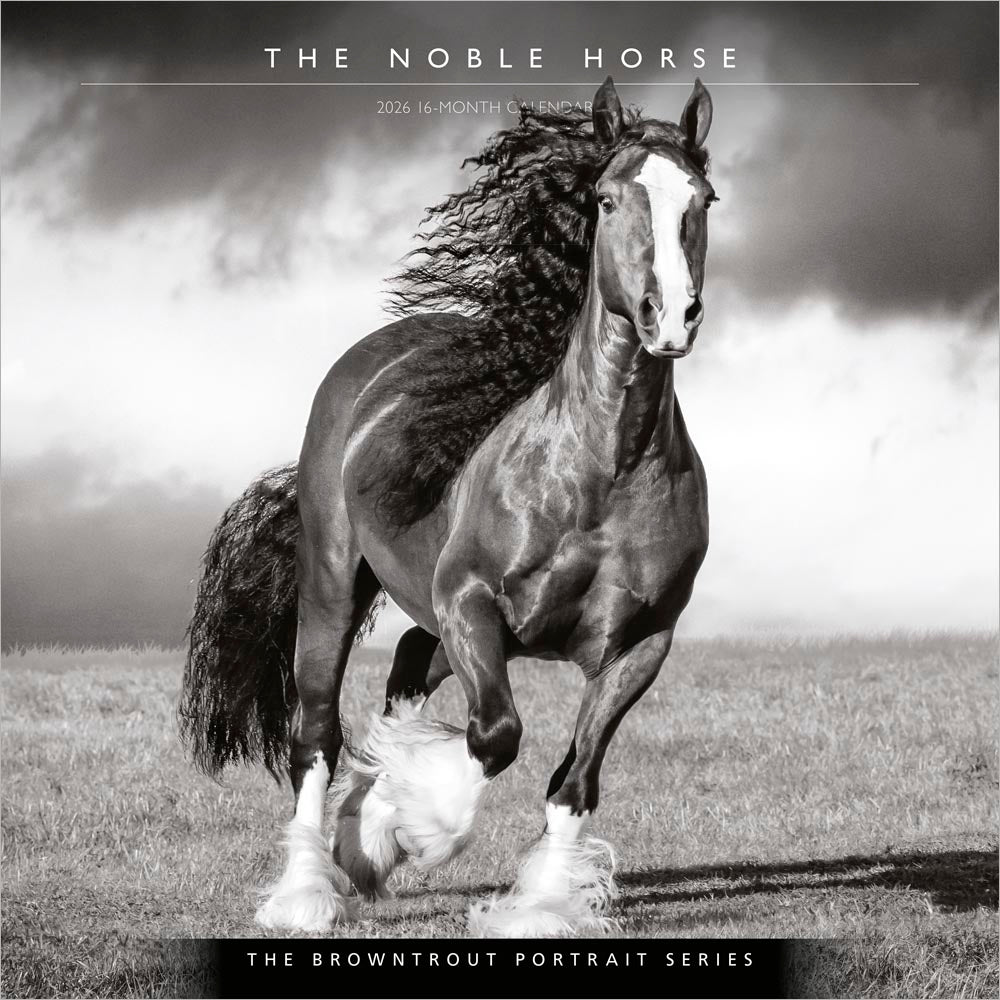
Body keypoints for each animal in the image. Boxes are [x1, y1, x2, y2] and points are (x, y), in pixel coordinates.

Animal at [180, 76, 716, 937]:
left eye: (704, 198)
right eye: (604, 200)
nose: (669, 315)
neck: (600, 472)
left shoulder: (642, 644)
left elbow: (575, 779)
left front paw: (539, 904)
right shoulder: (470, 602)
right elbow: (496, 735)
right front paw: (407, 828)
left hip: (430, 611)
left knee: (404, 665)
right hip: (335, 585)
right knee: (315, 733)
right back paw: (306, 890)